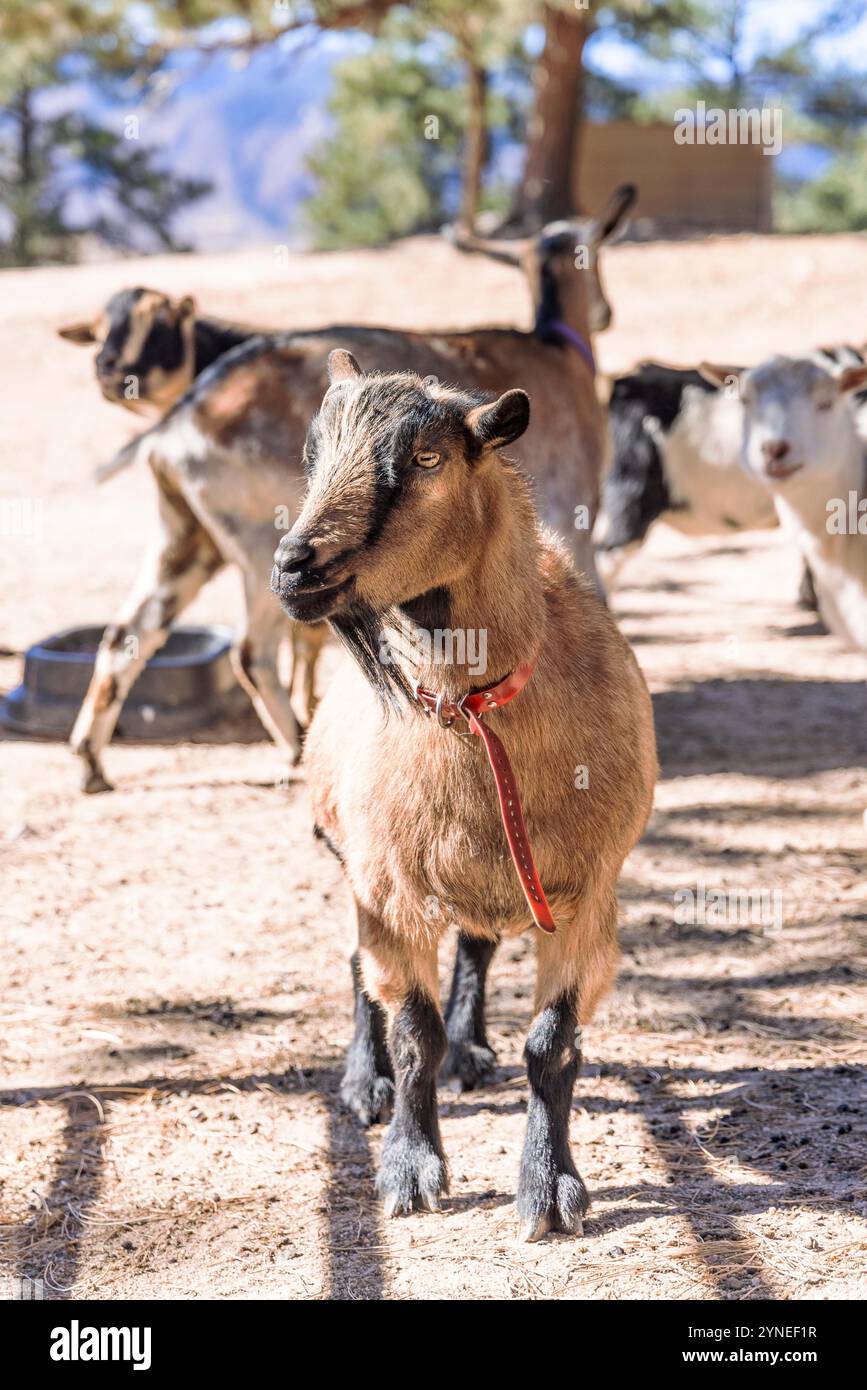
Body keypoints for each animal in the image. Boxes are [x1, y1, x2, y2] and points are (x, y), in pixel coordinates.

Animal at [71, 185, 635, 806]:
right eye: (598, 255)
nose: (608, 311)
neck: (558, 351)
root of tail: (178, 422)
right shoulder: (574, 510)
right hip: (260, 543)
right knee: (250, 650)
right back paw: (296, 741)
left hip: (187, 535)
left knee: (127, 633)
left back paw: (92, 763)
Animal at [272, 351, 656, 1236]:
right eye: (313, 451)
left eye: (425, 459)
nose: (294, 565)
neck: (475, 707)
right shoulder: (387, 887)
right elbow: (412, 1034)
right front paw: (410, 1169)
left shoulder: (589, 894)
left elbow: (551, 1046)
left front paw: (548, 1188)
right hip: (355, 862)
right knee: (358, 969)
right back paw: (365, 1082)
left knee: (477, 946)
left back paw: (473, 1044)